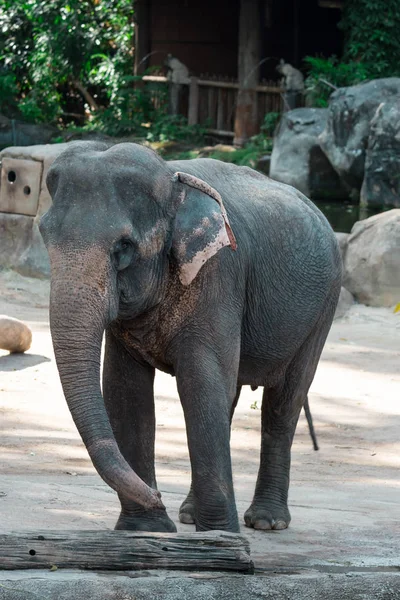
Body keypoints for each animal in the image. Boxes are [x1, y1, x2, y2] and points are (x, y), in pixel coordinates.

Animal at [39, 142, 340, 536]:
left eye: (124, 247)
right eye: (44, 236)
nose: (156, 495)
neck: (172, 179)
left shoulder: (218, 275)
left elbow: (200, 383)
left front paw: (220, 537)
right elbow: (125, 390)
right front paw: (146, 530)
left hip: (324, 307)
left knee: (283, 403)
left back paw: (266, 522)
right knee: (231, 397)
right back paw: (189, 515)